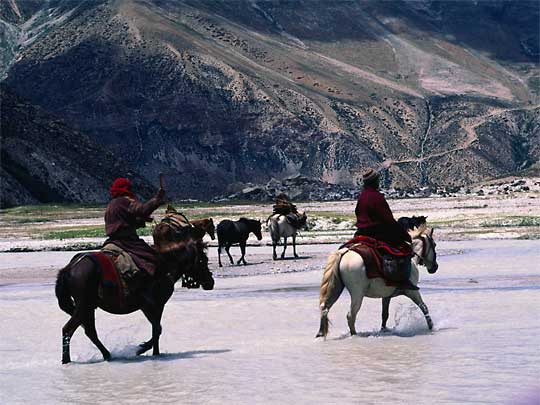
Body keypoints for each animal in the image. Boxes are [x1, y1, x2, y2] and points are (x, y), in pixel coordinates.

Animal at [54, 216, 214, 364]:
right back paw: (67, 360)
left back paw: (107, 355)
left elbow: (156, 330)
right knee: (68, 330)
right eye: (203, 260)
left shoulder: (152, 306)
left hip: (88, 307)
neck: (165, 266)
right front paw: (140, 349)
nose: (210, 282)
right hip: (83, 306)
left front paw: (154, 353)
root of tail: (70, 268)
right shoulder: (152, 305)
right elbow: (157, 329)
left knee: (89, 331)